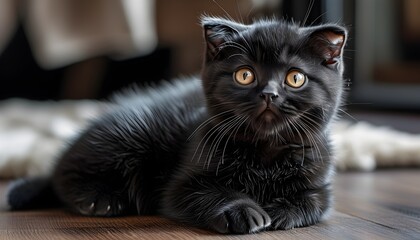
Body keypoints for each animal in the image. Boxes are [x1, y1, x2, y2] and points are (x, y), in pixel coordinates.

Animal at [8, 17, 346, 234]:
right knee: (63, 172)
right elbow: (207, 192)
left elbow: (313, 202)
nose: (269, 94)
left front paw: (278, 210)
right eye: (245, 75)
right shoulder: (180, 184)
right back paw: (99, 198)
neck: (264, 152)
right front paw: (242, 209)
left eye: (295, 77)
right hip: (131, 131)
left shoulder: (320, 180)